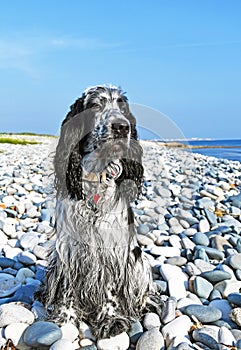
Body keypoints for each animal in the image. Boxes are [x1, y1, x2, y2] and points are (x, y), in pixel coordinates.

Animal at [43, 85, 162, 340]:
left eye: (122, 107)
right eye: (96, 105)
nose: (121, 127)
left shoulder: (112, 249)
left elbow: (110, 289)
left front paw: (110, 319)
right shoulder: (69, 249)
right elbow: (68, 287)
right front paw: (65, 318)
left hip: (138, 261)